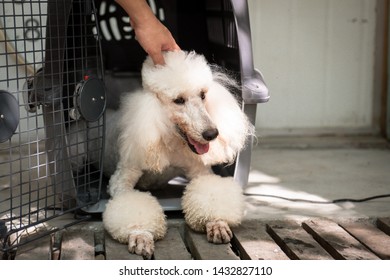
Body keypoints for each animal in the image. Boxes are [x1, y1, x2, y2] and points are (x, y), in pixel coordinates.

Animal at [99, 50, 254, 258]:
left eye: (203, 95)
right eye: (179, 100)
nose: (211, 134)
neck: (171, 140)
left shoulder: (199, 170)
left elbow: (210, 191)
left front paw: (217, 223)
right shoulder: (123, 178)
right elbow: (130, 202)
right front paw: (140, 234)